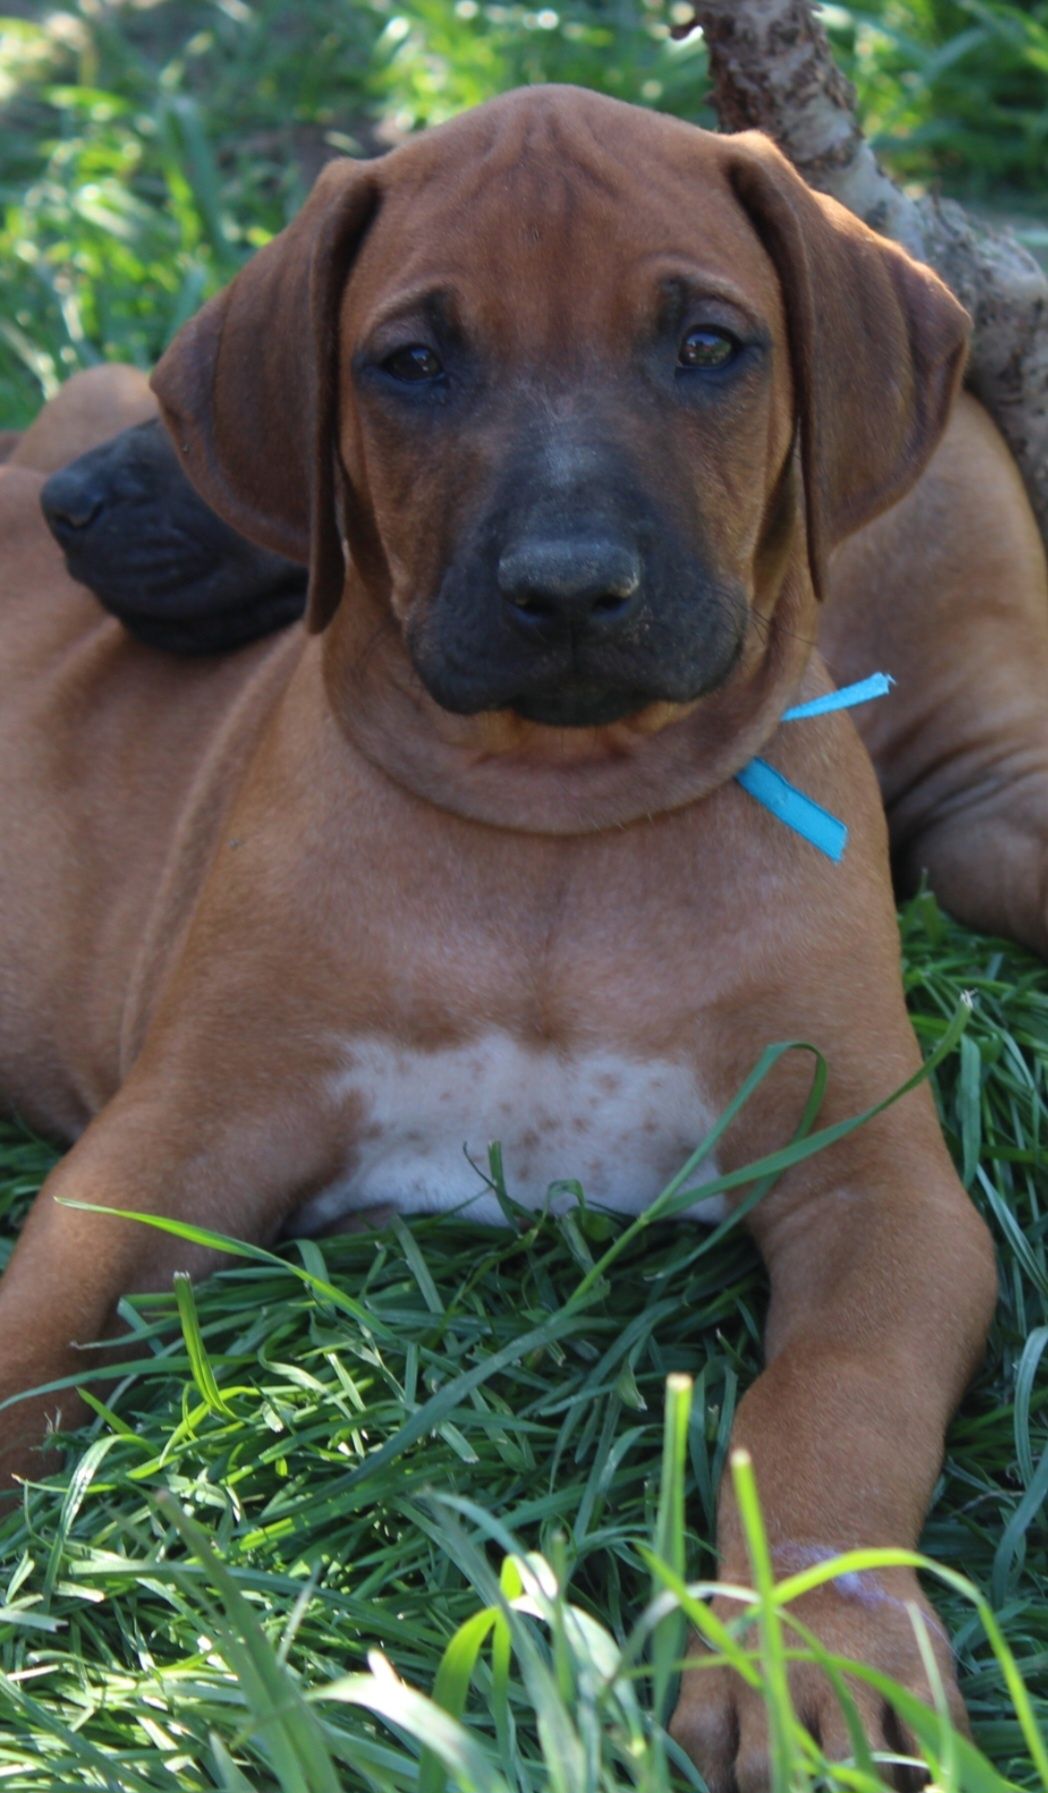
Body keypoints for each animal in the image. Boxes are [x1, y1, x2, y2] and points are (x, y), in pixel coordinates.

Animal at [0, 87, 1004, 1778]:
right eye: (411, 362)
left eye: (709, 346)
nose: (570, 589)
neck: (559, 828)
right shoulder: (166, 1147)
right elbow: (33, 1324)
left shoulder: (879, 1184)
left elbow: (833, 1399)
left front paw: (809, 1652)